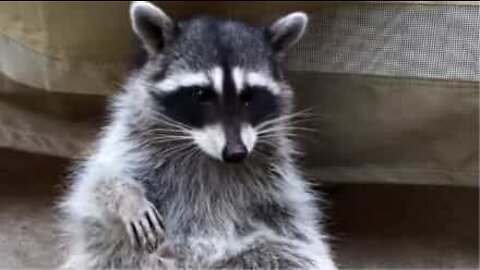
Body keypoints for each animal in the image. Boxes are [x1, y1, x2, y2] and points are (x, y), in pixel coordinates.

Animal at [58, 2, 338, 270]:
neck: (204, 152)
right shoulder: (132, 138)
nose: (236, 153)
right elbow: (98, 182)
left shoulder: (274, 171)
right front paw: (128, 198)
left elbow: (292, 218)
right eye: (202, 95)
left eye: (249, 96)